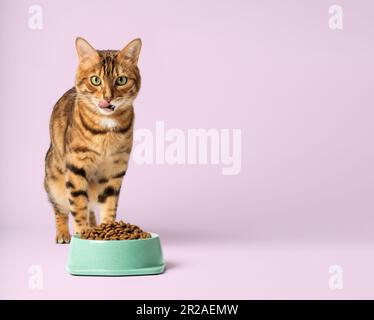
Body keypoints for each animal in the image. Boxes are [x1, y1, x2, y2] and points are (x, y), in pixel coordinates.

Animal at [43, 37, 142, 242]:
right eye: (95, 80)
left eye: (121, 80)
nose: (108, 98)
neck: (106, 131)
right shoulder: (76, 166)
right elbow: (78, 205)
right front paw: (83, 233)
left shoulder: (115, 170)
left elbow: (109, 205)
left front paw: (107, 228)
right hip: (53, 182)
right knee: (61, 209)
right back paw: (63, 233)